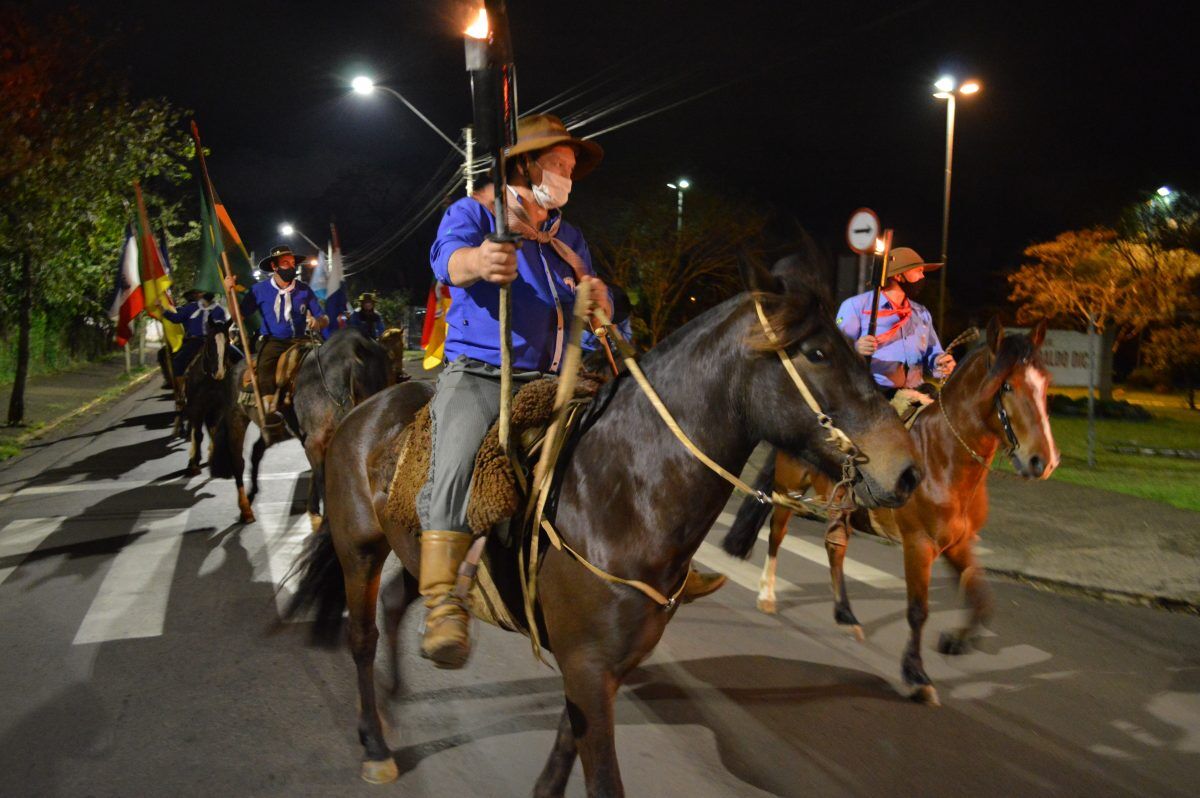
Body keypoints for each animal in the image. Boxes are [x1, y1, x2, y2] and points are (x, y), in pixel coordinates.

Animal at [285, 258, 921, 792]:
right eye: (815, 353)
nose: (907, 470)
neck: (623, 495)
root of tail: (361, 412)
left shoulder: (598, 668)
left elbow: (564, 755)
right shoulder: (589, 667)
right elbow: (603, 781)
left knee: (399, 601)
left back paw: (402, 684)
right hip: (359, 549)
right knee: (361, 636)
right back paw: (375, 741)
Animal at [720, 316, 1060, 705]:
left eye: (1045, 382)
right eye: (1007, 386)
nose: (1044, 461)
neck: (943, 456)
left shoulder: (959, 542)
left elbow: (981, 599)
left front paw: (957, 640)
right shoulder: (918, 544)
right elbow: (918, 610)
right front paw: (916, 674)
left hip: (840, 503)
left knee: (835, 548)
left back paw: (846, 615)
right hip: (789, 485)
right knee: (778, 532)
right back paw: (767, 594)